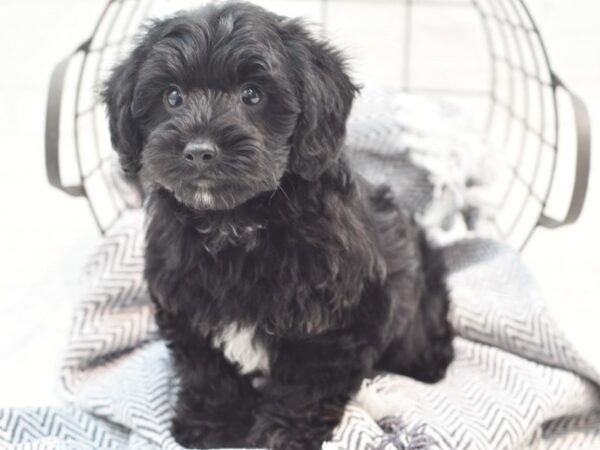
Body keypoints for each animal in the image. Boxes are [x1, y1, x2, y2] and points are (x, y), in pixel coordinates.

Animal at [103, 1, 452, 448]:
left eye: (252, 94)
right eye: (172, 96)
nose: (199, 151)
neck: (236, 223)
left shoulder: (337, 319)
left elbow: (306, 386)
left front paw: (281, 434)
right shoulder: (185, 302)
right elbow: (207, 369)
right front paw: (210, 423)